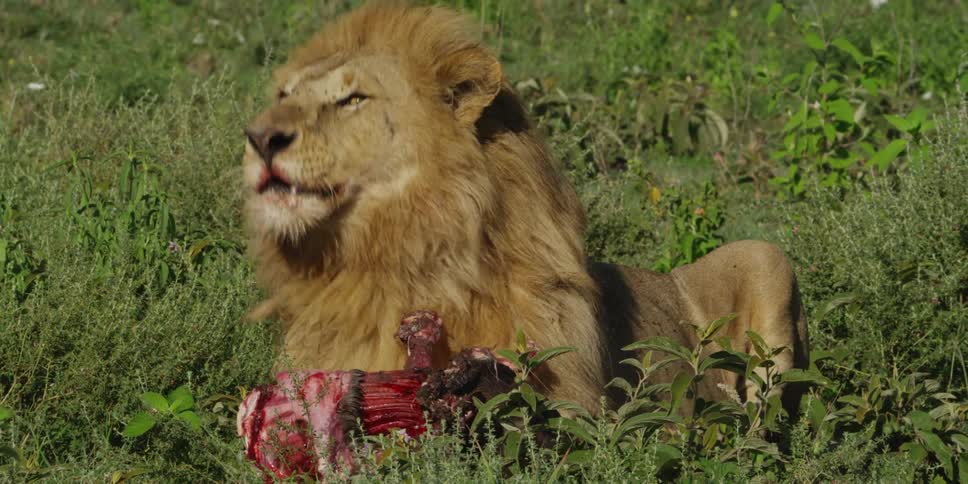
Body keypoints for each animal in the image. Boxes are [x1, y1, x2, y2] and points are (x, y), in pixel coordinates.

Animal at [241, 1, 809, 415]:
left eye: (353, 99)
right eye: (284, 95)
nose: (258, 137)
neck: (385, 257)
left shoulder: (576, 417)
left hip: (763, 255)